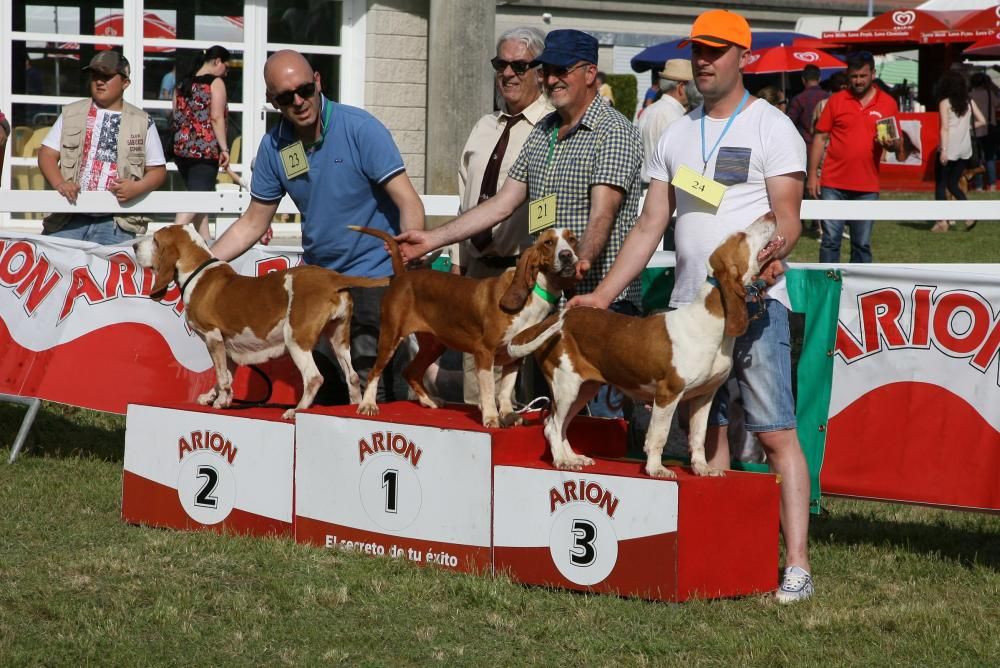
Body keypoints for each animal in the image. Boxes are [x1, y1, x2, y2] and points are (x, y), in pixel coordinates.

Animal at [130, 227, 386, 420]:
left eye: (155, 240)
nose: (134, 246)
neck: (197, 271)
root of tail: (333, 277)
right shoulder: (227, 346)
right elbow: (225, 375)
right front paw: (213, 397)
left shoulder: (212, 337)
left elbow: (221, 377)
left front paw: (221, 401)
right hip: (338, 337)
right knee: (352, 376)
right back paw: (352, 406)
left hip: (296, 338)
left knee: (314, 378)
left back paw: (297, 411)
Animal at [350, 227, 580, 428]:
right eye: (548, 243)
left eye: (572, 239)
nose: (567, 255)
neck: (535, 292)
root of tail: (402, 276)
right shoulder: (484, 352)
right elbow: (489, 390)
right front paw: (491, 417)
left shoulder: (515, 356)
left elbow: (505, 389)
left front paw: (508, 415)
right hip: (390, 337)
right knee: (374, 372)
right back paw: (368, 404)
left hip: (433, 346)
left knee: (411, 372)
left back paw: (429, 401)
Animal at [508, 213, 780, 474]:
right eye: (742, 236)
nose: (771, 214)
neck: (711, 321)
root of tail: (556, 318)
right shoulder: (668, 394)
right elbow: (658, 436)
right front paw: (656, 468)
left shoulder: (704, 397)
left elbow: (698, 438)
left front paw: (702, 468)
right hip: (565, 385)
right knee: (552, 425)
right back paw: (562, 461)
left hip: (584, 387)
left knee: (560, 424)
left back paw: (573, 457)